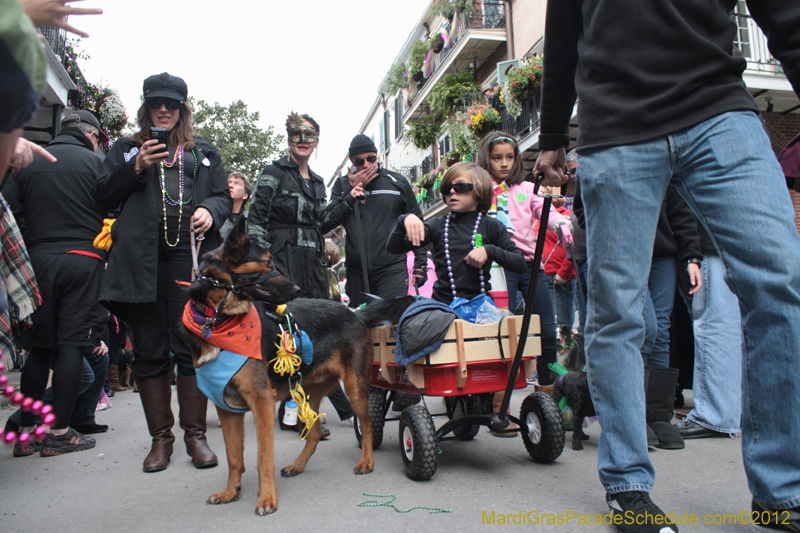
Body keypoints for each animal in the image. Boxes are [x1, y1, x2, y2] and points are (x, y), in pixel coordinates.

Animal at [185, 216, 416, 516]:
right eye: (268, 262)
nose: (296, 290)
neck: (219, 320)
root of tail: (355, 312)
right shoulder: (227, 409)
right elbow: (233, 457)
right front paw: (231, 492)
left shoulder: (260, 402)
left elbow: (263, 458)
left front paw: (266, 499)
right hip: (308, 392)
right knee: (315, 433)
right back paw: (297, 465)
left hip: (355, 388)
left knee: (365, 425)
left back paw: (366, 461)